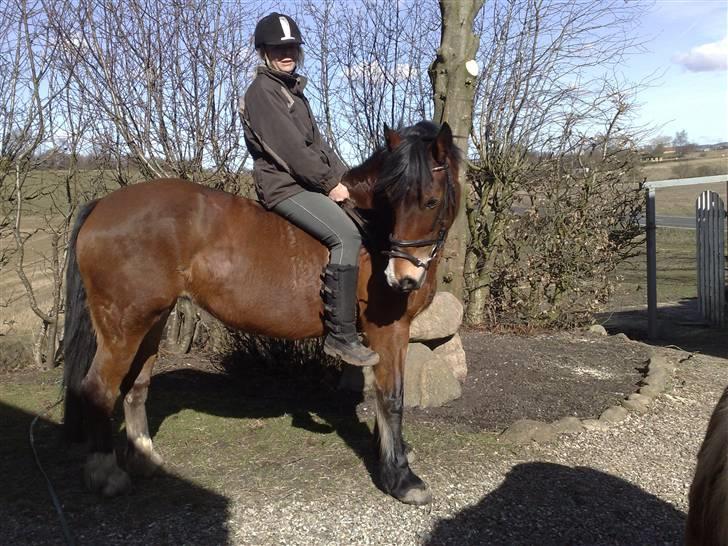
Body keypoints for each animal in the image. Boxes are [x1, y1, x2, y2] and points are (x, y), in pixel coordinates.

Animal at [62, 121, 460, 504]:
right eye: (391, 200)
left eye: (430, 202)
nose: (400, 278)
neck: (371, 238)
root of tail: (103, 204)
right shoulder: (388, 331)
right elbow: (391, 397)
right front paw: (402, 479)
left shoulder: (393, 335)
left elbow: (384, 392)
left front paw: (393, 451)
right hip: (123, 326)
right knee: (98, 388)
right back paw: (106, 474)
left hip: (152, 321)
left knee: (136, 385)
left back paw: (144, 458)